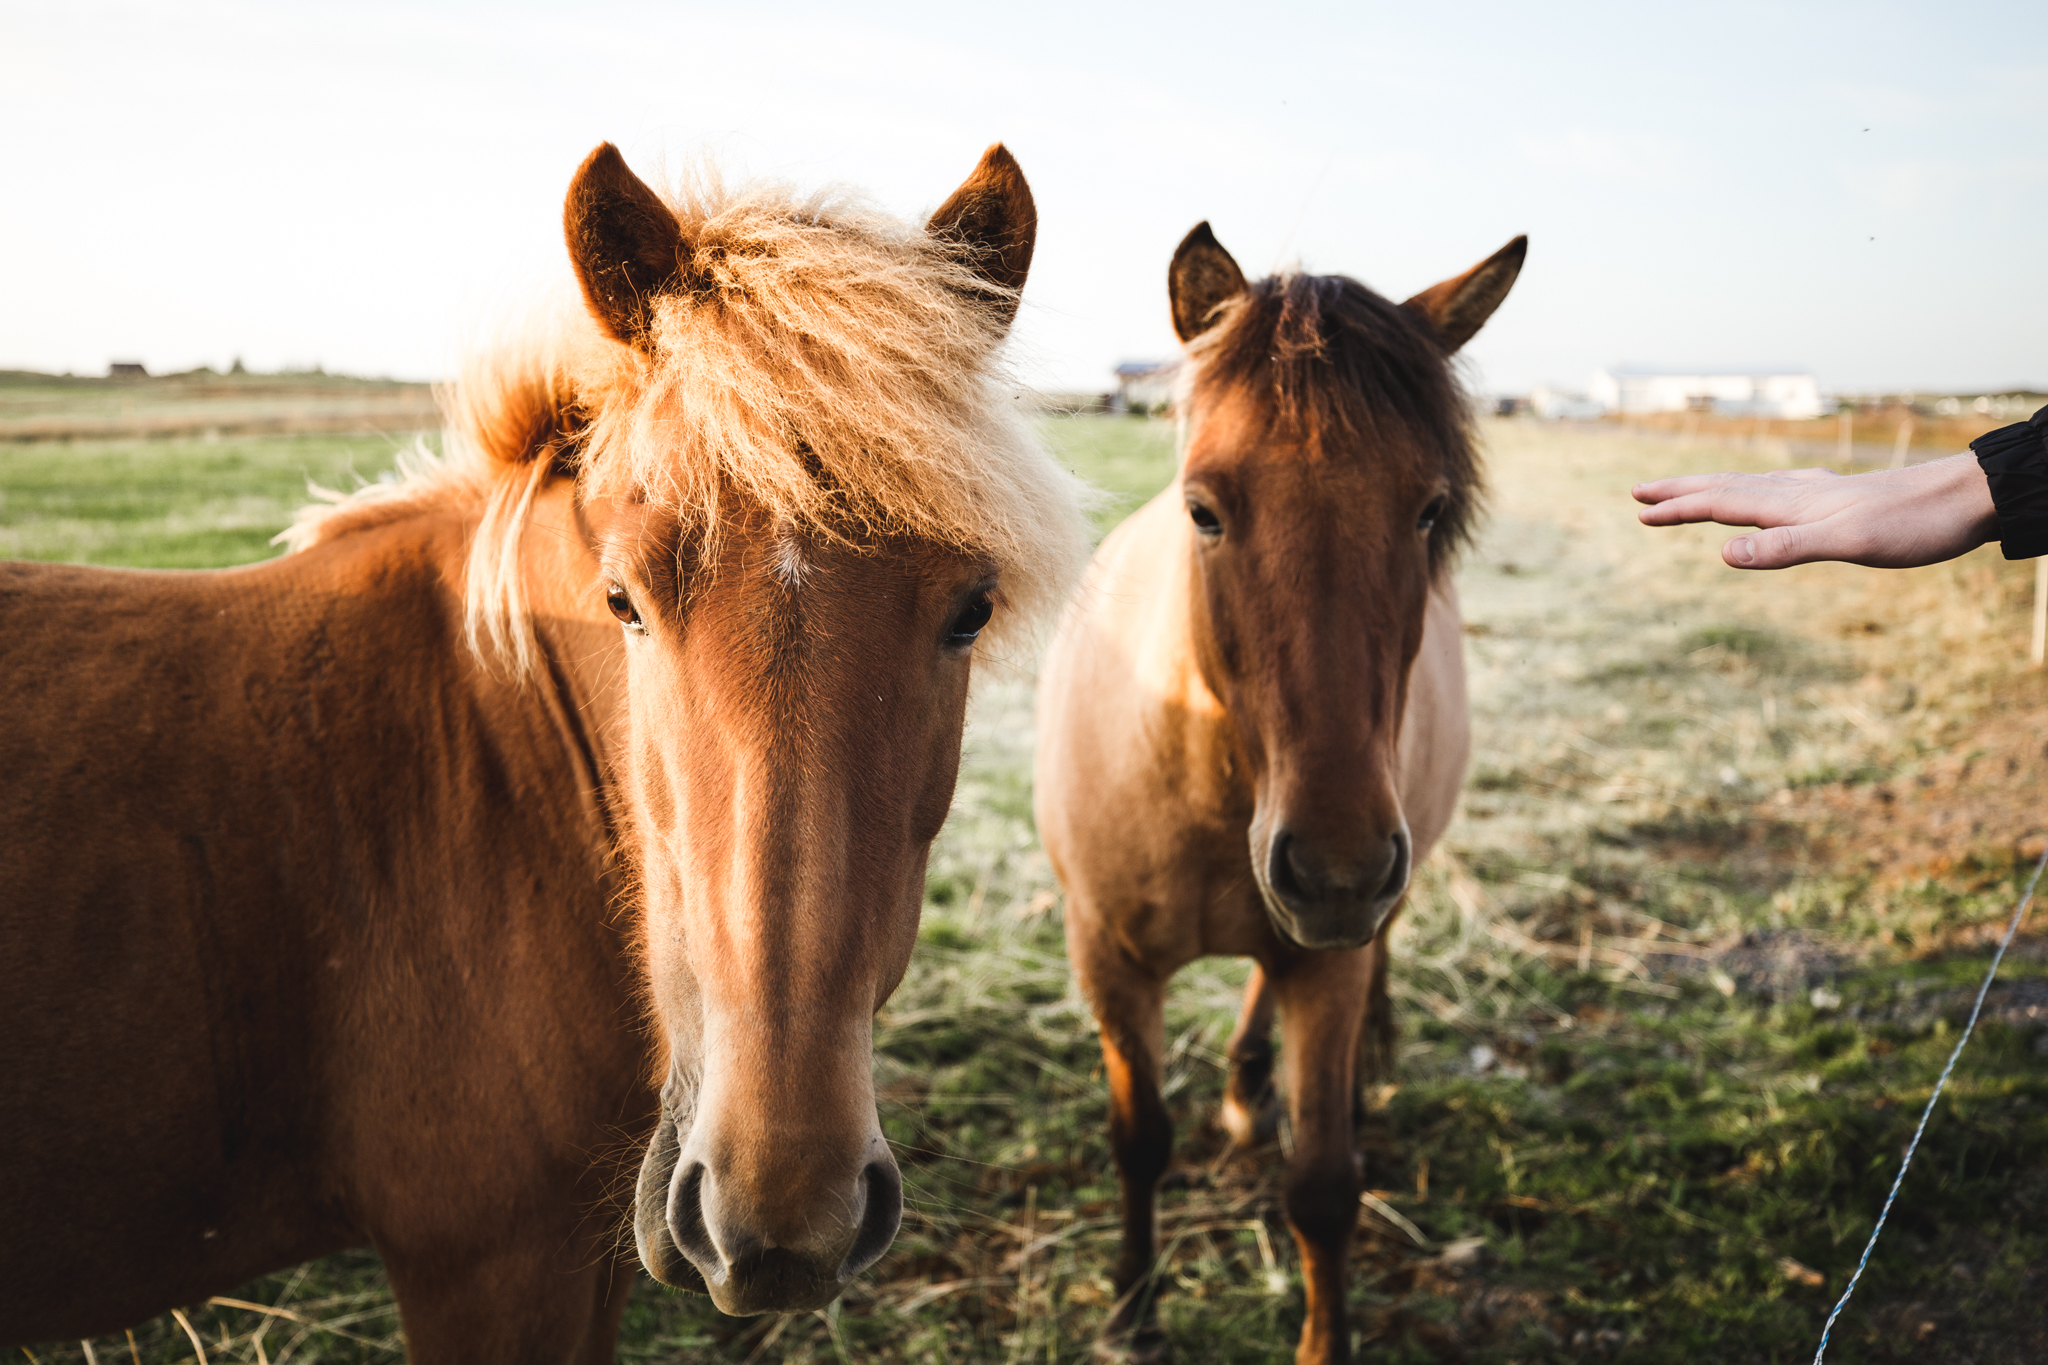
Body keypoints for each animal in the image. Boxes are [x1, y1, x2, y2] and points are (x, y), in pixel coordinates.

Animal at [1040, 227, 1523, 1365]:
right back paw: (1247, 1085)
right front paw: (1132, 1309)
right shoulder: (1109, 961)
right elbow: (1139, 1139)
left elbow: (1321, 1187)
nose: (1337, 866)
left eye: (1429, 509)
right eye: (1203, 509)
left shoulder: (1331, 958)